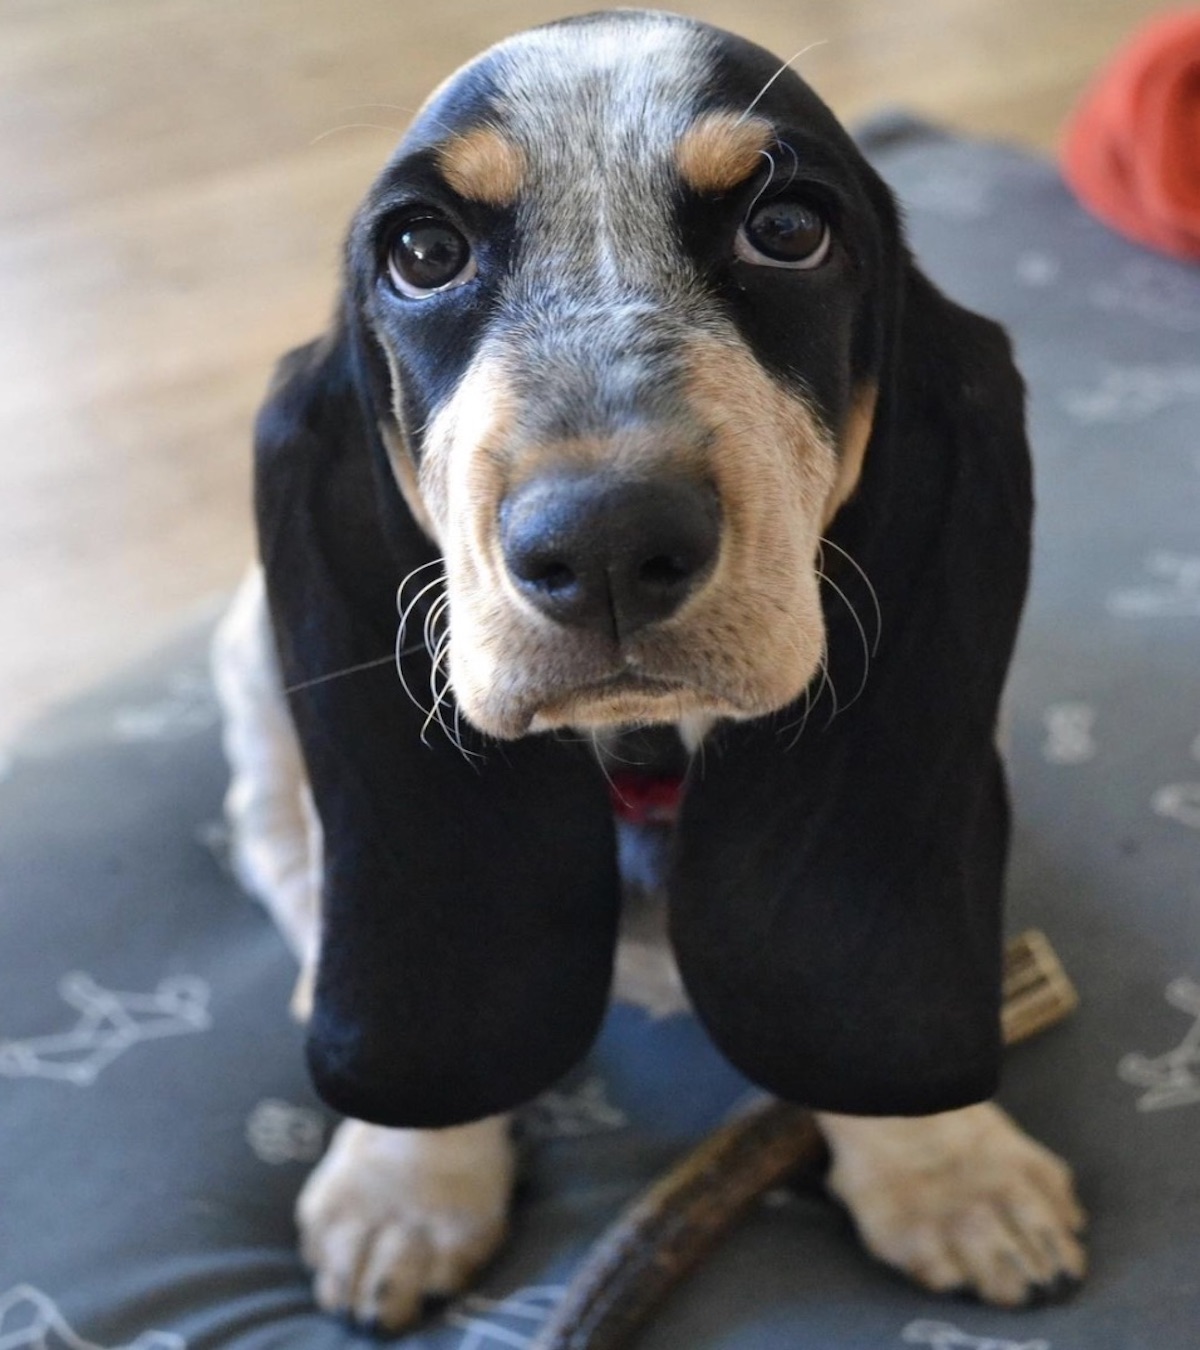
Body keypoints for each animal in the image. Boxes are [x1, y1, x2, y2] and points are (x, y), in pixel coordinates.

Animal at [213, 10, 1085, 1333]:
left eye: (788, 229)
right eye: (423, 250)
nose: (606, 541)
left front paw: (951, 1172)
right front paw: (404, 1186)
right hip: (251, 654)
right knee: (276, 830)